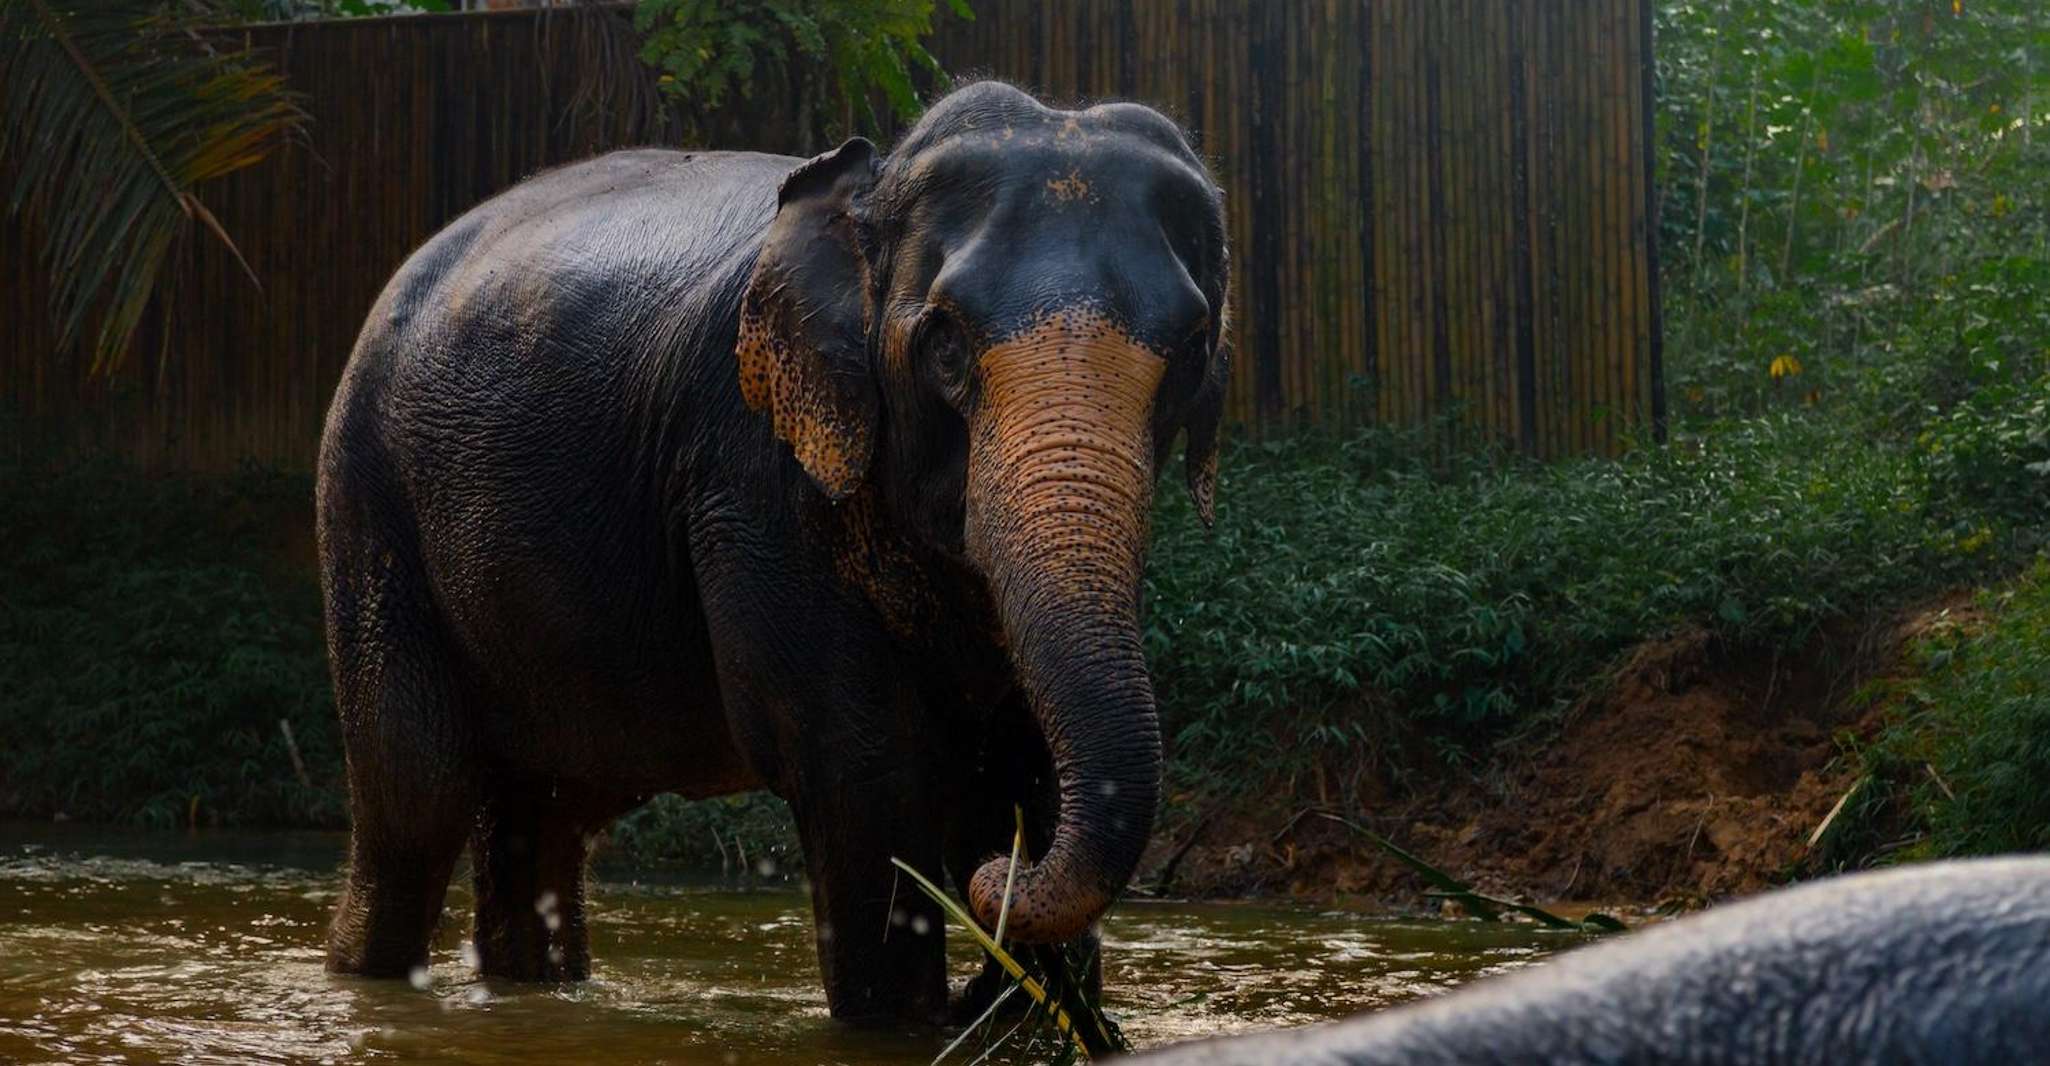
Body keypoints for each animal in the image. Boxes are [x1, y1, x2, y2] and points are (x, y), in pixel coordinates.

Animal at [314, 80, 1229, 1024]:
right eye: (943, 345)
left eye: (1194, 352)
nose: (989, 879)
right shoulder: (748, 472)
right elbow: (862, 776)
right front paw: (915, 1018)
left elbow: (1020, 758)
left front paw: (1028, 1003)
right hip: (367, 506)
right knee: (415, 803)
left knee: (546, 814)